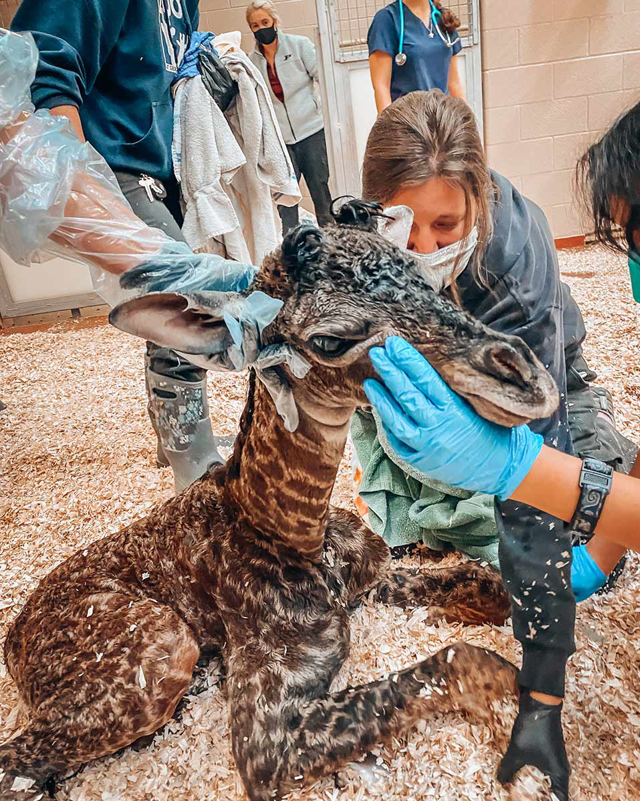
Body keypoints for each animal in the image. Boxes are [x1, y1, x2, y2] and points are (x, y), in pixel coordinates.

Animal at [0, 202, 559, 801]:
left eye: (421, 277)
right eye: (330, 340)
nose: (528, 380)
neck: (291, 531)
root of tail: (13, 642)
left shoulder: (371, 578)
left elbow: (487, 582)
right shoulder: (266, 741)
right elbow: (471, 660)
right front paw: (531, 760)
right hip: (162, 649)